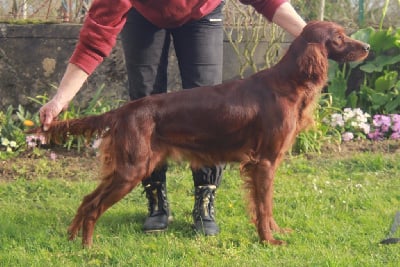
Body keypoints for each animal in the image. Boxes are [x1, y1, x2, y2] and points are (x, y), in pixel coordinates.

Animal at [31, 21, 368, 247]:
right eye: (339, 37)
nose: (367, 47)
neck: (288, 83)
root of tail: (123, 110)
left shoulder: (268, 163)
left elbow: (267, 205)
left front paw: (277, 232)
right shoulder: (264, 162)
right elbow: (262, 206)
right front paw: (268, 241)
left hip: (126, 166)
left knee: (87, 199)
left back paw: (71, 238)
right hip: (132, 168)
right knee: (94, 206)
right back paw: (88, 246)